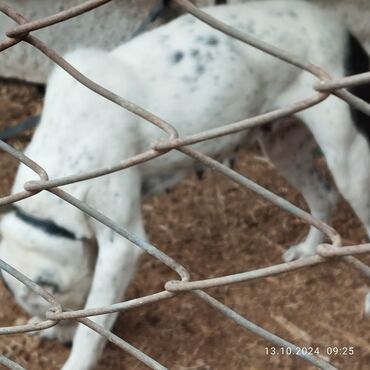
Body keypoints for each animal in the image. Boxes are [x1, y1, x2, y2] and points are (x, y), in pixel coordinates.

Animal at [0, 1, 370, 368]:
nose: (60, 340)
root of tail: (340, 28)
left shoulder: (121, 245)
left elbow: (94, 323)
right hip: (282, 146)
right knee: (322, 197)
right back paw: (309, 250)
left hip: (348, 157)